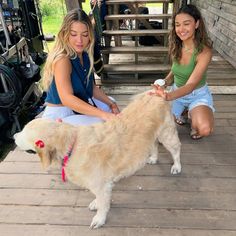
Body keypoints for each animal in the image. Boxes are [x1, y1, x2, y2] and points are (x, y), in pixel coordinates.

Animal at [14, 91, 181, 229]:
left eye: (24, 131)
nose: (14, 136)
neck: (72, 146)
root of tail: (157, 93)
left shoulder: (100, 184)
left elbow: (103, 204)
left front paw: (99, 219)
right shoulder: (100, 183)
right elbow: (98, 198)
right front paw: (95, 203)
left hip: (167, 134)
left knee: (176, 149)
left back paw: (177, 166)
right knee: (154, 145)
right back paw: (153, 157)